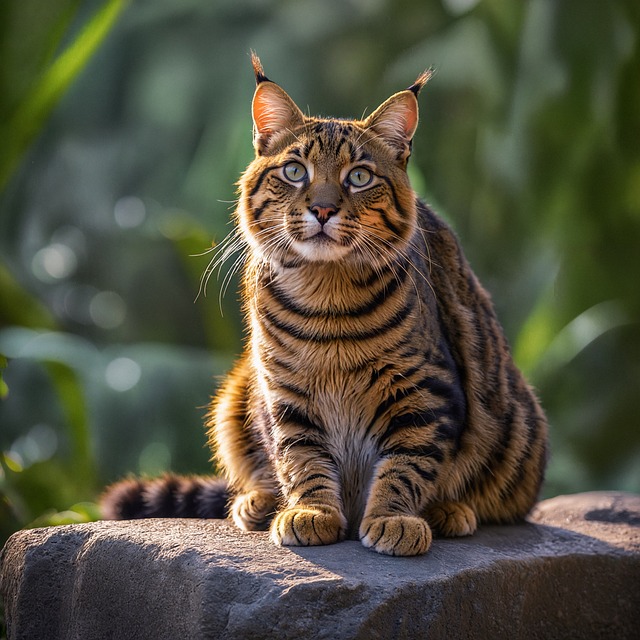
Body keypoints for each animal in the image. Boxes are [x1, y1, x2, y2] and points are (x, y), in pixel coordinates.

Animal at [102, 53, 548, 556]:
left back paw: (448, 511)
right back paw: (257, 502)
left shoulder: (424, 390)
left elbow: (408, 463)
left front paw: (393, 518)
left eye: (359, 177)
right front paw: (311, 511)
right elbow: (301, 458)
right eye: (295, 171)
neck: (326, 297)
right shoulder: (284, 390)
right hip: (235, 392)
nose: (322, 209)